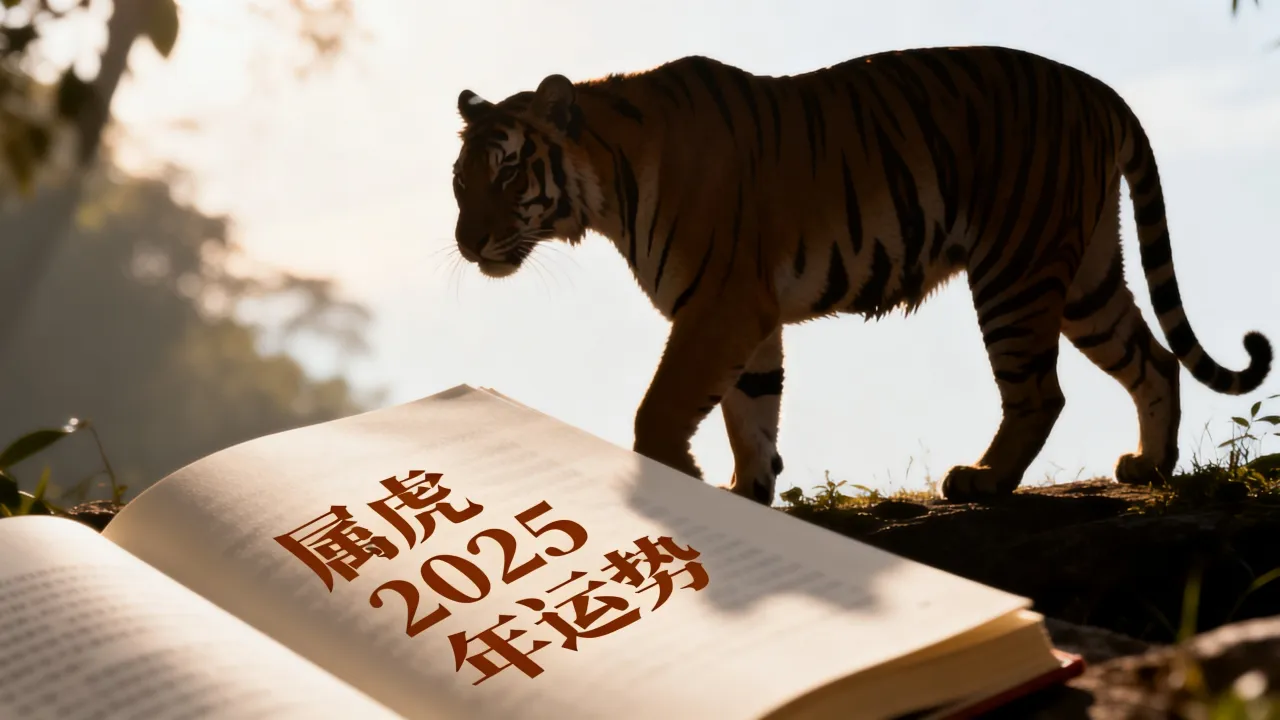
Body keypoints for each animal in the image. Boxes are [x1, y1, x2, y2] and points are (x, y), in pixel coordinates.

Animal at [448, 45, 1272, 505]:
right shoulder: (748, 316)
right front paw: (749, 491)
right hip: (1084, 274)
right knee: (1155, 359)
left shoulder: (716, 308)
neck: (606, 184)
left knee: (1042, 392)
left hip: (1015, 269)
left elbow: (660, 412)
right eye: (460, 181)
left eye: (509, 171)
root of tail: (1098, 89)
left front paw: (686, 481)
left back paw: (983, 479)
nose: (467, 240)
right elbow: (752, 414)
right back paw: (1150, 466)